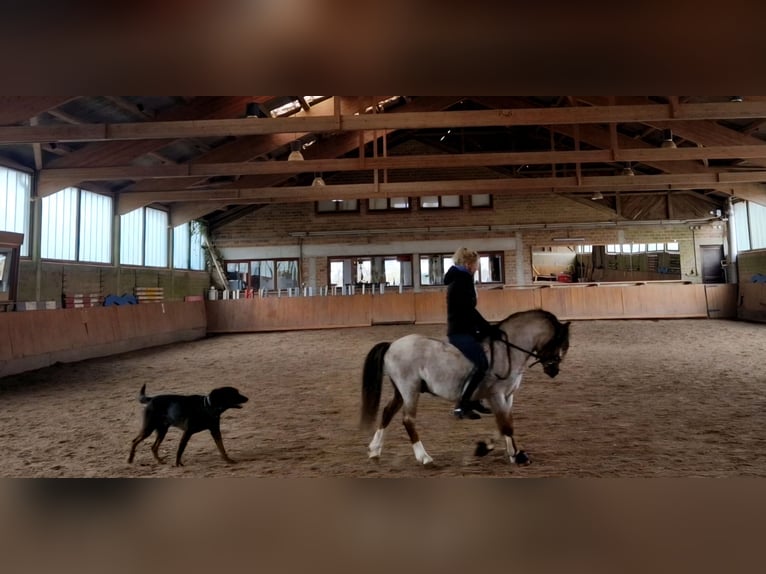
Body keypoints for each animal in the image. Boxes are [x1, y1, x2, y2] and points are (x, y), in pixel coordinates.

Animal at [360, 309, 570, 467]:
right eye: (557, 342)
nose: (553, 370)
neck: (508, 350)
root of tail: (392, 345)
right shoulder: (496, 394)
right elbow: (506, 425)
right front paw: (504, 453)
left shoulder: (508, 396)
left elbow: (505, 424)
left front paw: (508, 452)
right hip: (410, 389)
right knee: (408, 420)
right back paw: (424, 457)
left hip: (401, 391)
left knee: (387, 412)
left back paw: (374, 450)